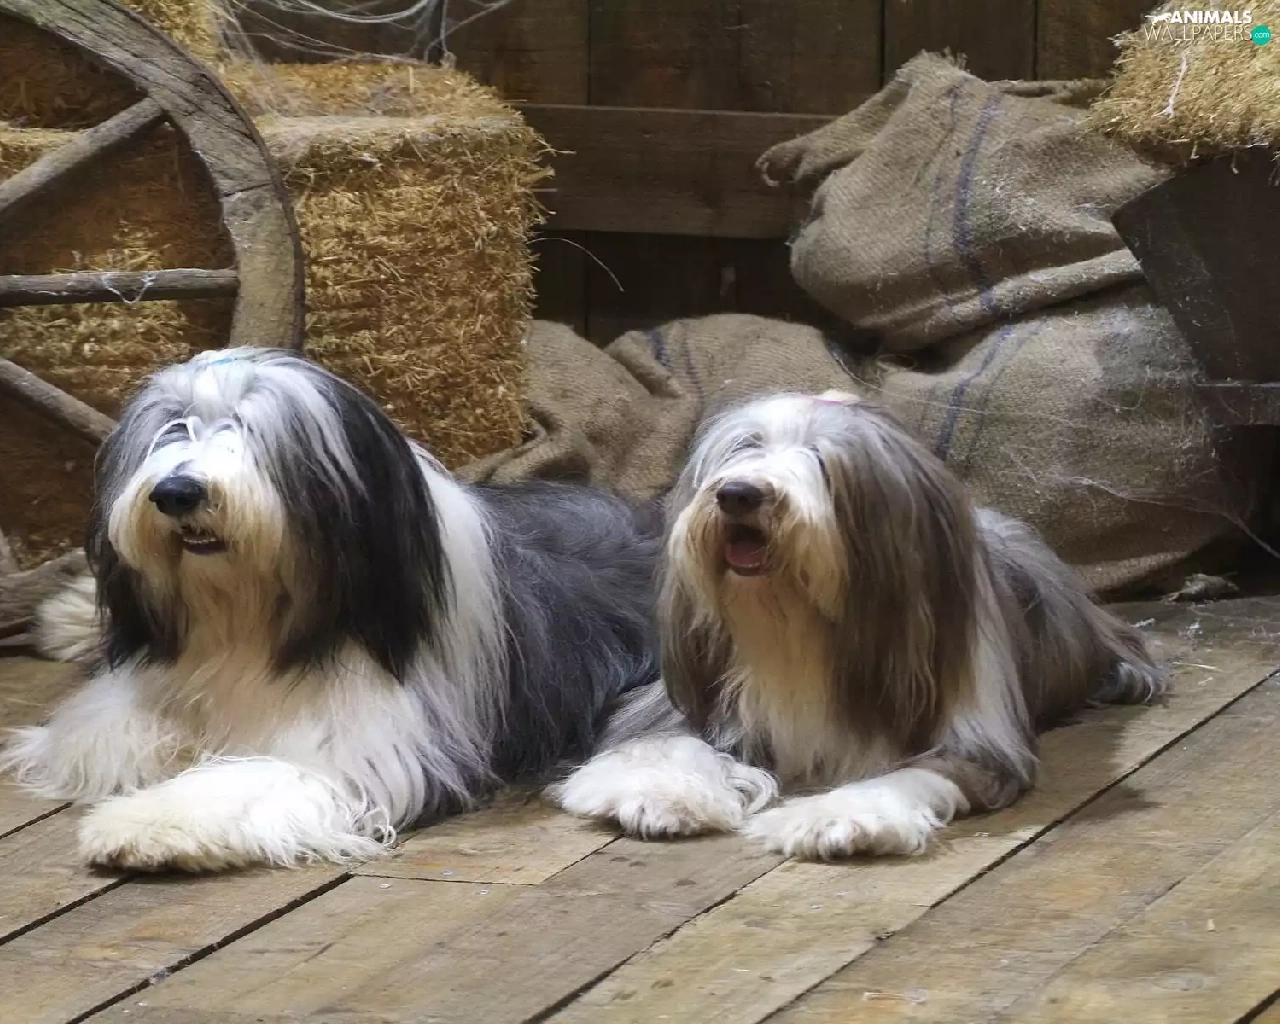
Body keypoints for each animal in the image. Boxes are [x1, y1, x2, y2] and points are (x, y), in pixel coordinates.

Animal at [2, 348, 665, 872]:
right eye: (173, 427)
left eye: (253, 429)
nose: (176, 492)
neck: (250, 616)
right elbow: (104, 731)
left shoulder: (365, 747)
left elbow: (252, 779)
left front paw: (141, 823)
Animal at [550, 392, 1164, 859]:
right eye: (746, 447)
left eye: (822, 462)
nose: (738, 493)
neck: (797, 629)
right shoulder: (686, 697)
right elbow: (661, 743)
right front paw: (662, 796)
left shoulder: (976, 736)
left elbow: (914, 774)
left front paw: (835, 819)